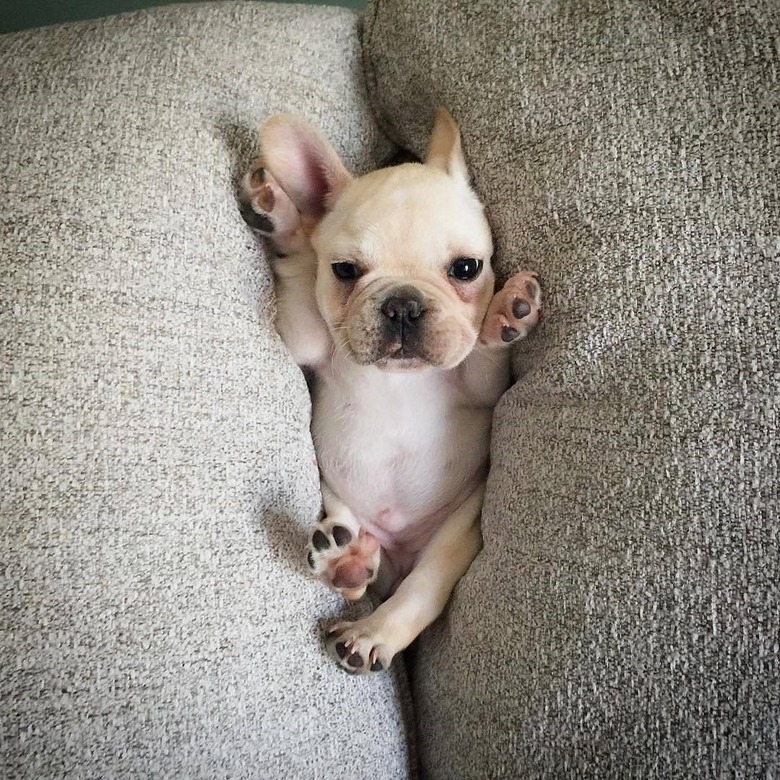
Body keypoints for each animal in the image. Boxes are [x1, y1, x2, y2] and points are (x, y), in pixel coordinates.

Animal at [239, 109, 544, 676]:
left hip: (455, 536)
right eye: (344, 270)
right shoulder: (307, 339)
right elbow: (299, 272)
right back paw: (346, 562)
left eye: (466, 268)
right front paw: (284, 221)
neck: (398, 376)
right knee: (356, 577)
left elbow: (483, 353)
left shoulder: (482, 385)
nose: (403, 303)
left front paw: (506, 312)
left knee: (420, 590)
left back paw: (372, 632)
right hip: (348, 519)